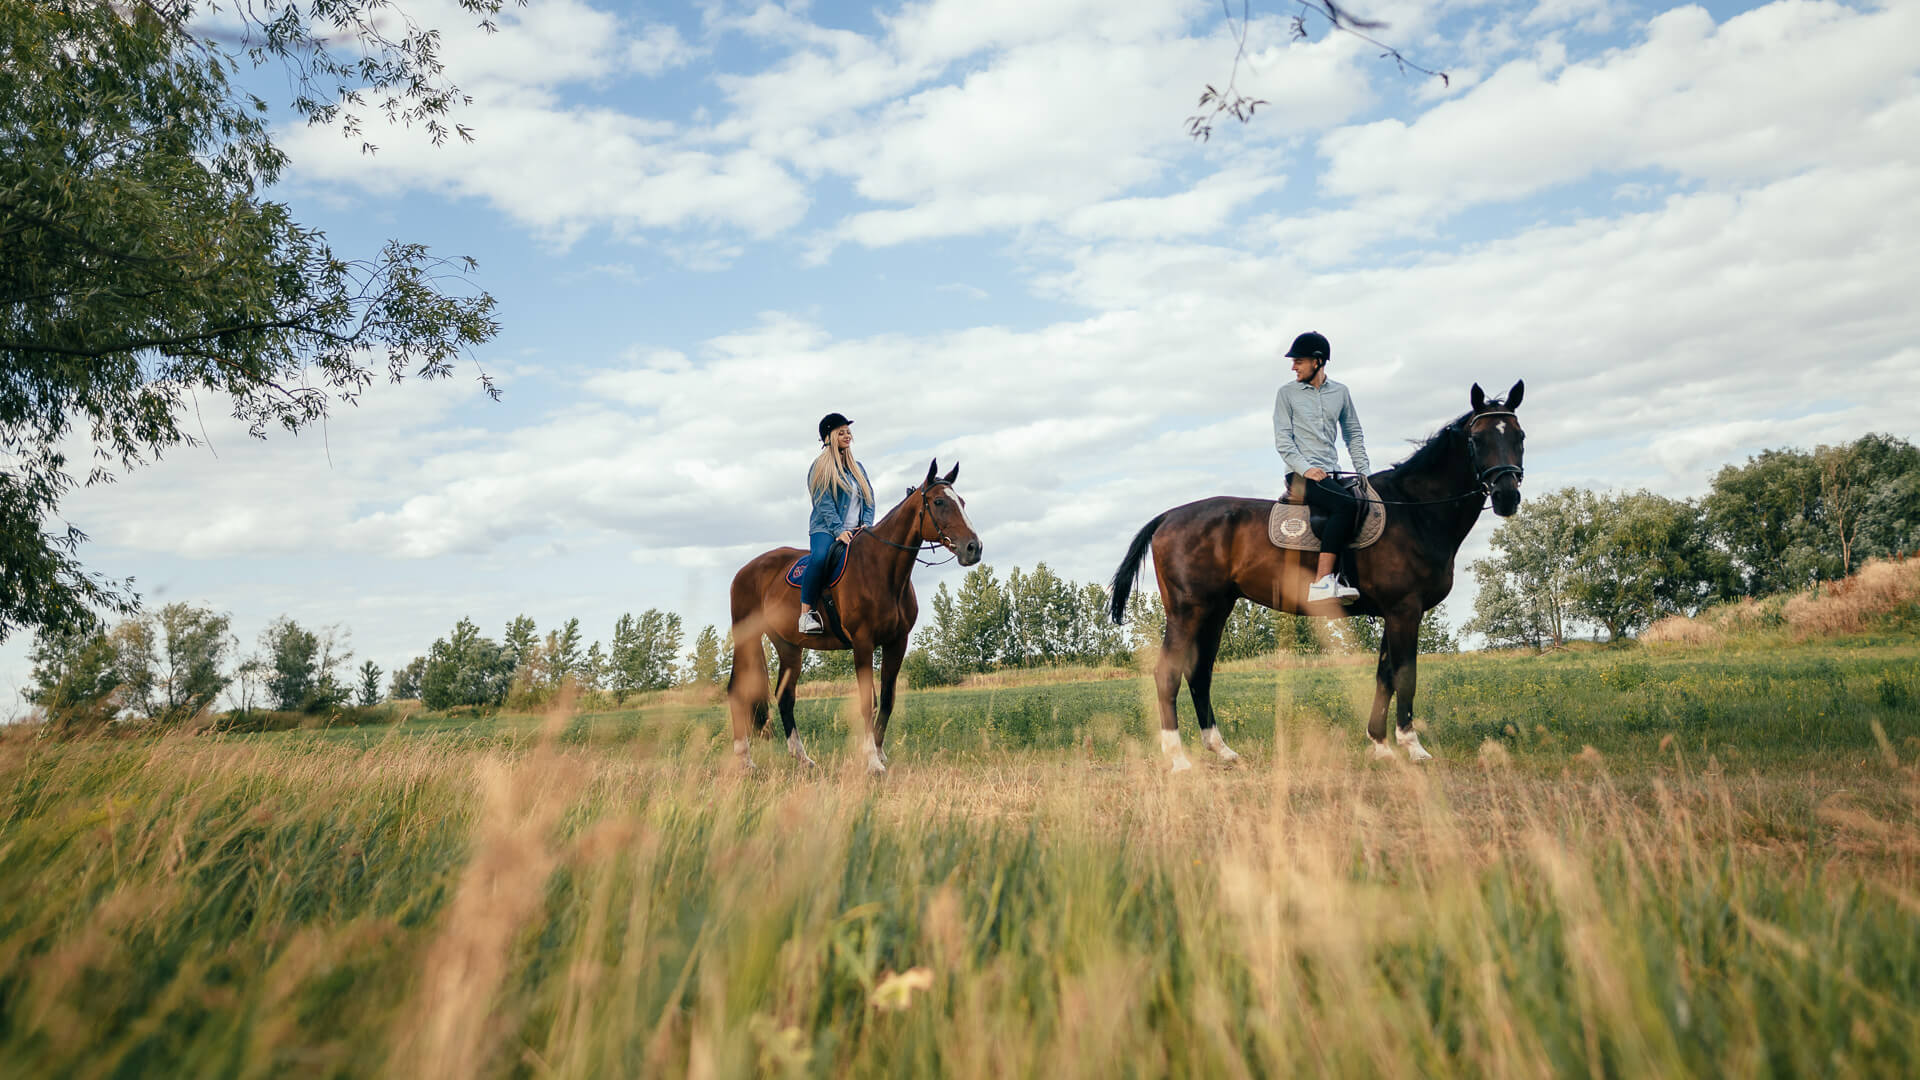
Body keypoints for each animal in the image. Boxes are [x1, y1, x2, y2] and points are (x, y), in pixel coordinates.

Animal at [725, 457, 983, 768]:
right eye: (939, 502)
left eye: (963, 502)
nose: (974, 548)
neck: (882, 569)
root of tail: (744, 571)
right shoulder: (862, 642)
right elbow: (866, 701)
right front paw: (872, 761)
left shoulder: (897, 643)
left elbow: (886, 699)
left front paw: (880, 753)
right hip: (747, 640)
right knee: (738, 691)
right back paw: (745, 761)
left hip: (788, 646)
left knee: (785, 697)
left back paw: (802, 758)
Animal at [1113, 378, 1528, 764]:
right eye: (1476, 439)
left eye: (1519, 436)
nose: (1506, 495)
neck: (1413, 510)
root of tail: (1168, 517)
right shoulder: (1404, 610)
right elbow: (1405, 675)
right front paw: (1413, 747)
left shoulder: (1394, 613)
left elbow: (1385, 676)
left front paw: (1380, 745)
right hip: (1188, 612)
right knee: (1167, 673)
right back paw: (1177, 759)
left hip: (1215, 611)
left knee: (1199, 673)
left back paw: (1222, 750)